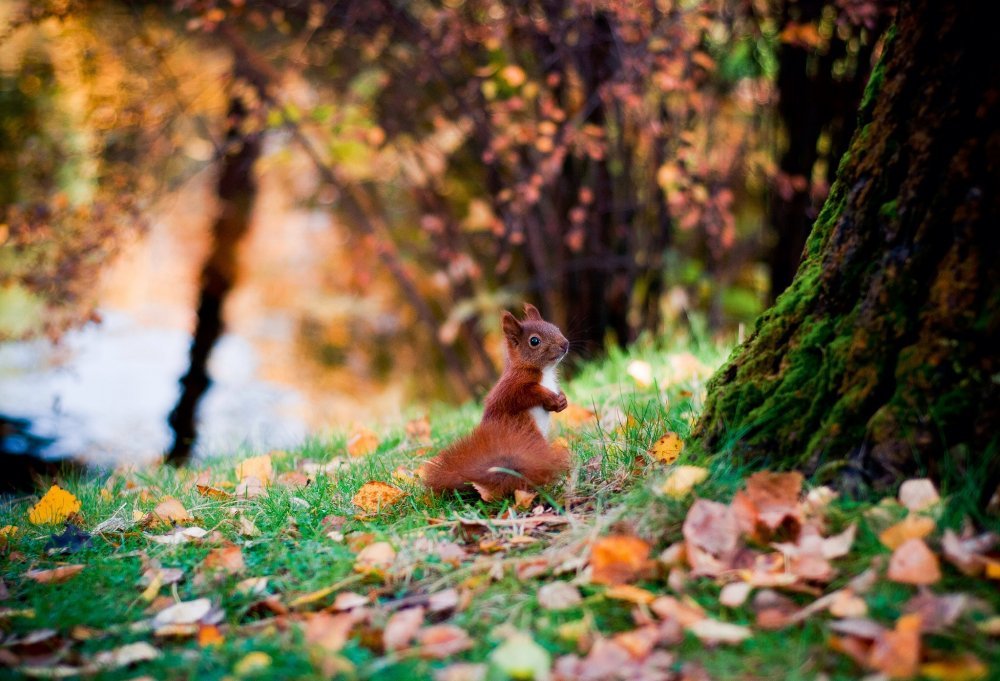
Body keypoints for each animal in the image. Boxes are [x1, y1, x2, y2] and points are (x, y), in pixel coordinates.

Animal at [426, 302, 576, 500]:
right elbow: (525, 395)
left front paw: (562, 401)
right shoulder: (512, 388)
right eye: (534, 341)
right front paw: (551, 398)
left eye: (555, 327)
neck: (545, 372)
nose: (565, 344)